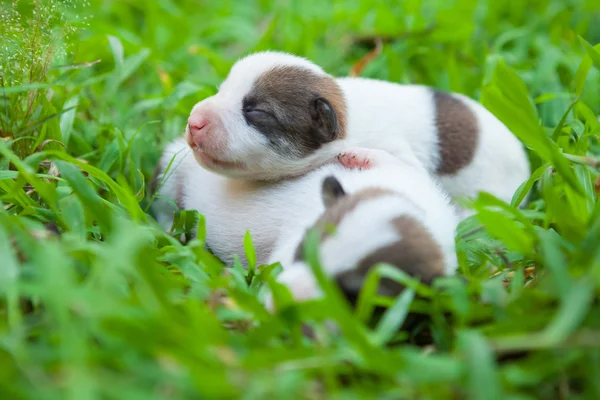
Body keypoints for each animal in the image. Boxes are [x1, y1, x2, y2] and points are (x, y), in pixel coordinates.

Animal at [183, 52, 528, 219]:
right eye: (221, 90)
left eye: (255, 112)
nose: (194, 122)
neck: (347, 119)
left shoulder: (399, 150)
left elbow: (409, 171)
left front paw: (363, 156)